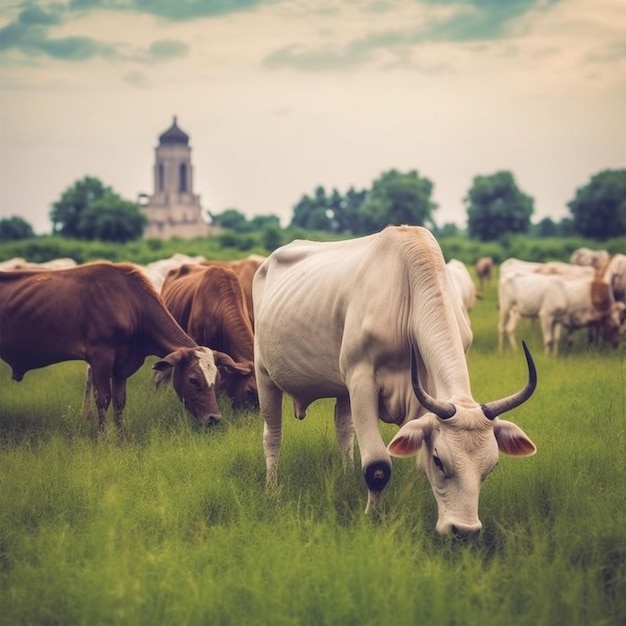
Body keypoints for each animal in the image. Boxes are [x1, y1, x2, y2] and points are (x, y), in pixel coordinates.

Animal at [0, 260, 244, 426]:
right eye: (193, 380)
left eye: (218, 379)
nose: (214, 418)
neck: (131, 303)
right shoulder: (100, 357)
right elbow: (103, 400)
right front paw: (102, 443)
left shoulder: (123, 365)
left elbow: (119, 402)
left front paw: (119, 439)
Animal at [254, 225, 536, 536]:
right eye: (440, 460)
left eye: (491, 466)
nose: (464, 530)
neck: (408, 294)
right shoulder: (361, 379)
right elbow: (377, 466)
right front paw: (371, 517)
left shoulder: (420, 395)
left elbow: (415, 463)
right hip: (264, 374)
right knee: (273, 436)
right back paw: (272, 489)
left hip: (342, 389)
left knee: (344, 431)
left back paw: (346, 476)